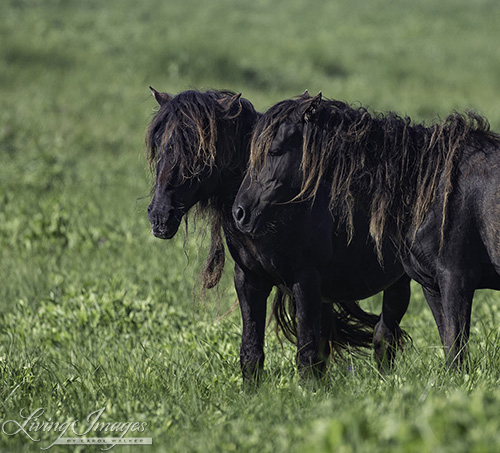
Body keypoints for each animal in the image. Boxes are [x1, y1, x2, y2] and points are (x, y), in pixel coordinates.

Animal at [146, 88, 408, 378]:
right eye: (158, 145)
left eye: (198, 149)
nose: (160, 216)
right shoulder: (249, 280)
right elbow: (252, 354)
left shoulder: (305, 281)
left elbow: (306, 356)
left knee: (384, 335)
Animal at [236, 92, 500, 368]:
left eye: (274, 151)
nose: (241, 212)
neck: (427, 183)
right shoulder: (432, 286)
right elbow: (451, 352)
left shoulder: (456, 280)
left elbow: (455, 351)